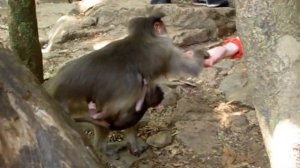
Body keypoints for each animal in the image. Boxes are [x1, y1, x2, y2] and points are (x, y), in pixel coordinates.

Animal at [44, 12, 209, 157]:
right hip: (79, 106)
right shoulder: (165, 49)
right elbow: (192, 68)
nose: (165, 29)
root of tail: (52, 88)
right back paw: (104, 147)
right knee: (109, 117)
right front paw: (202, 53)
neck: (140, 37)